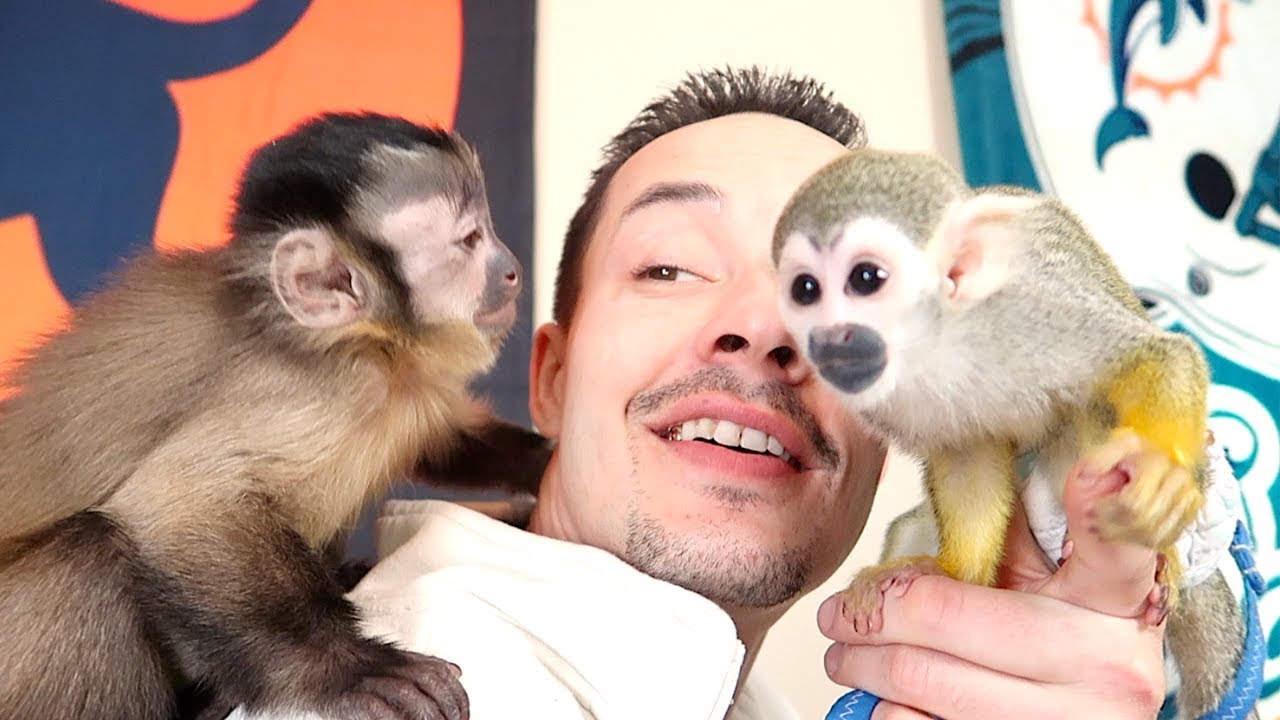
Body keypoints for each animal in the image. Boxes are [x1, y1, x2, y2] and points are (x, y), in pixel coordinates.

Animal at [0, 112, 548, 720]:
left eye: (490, 230)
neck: (367, 346)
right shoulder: (315, 390)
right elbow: (180, 502)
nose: (513, 270)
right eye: (471, 240)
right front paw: (348, 669)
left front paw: (541, 462)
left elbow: (440, 438)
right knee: (90, 558)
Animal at [771, 148, 1256, 719]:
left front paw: (1162, 473)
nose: (828, 340)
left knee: (1084, 412)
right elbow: (968, 457)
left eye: (866, 278)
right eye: (805, 290)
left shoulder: (1033, 311)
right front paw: (949, 575)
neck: (940, 340)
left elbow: (1152, 354)